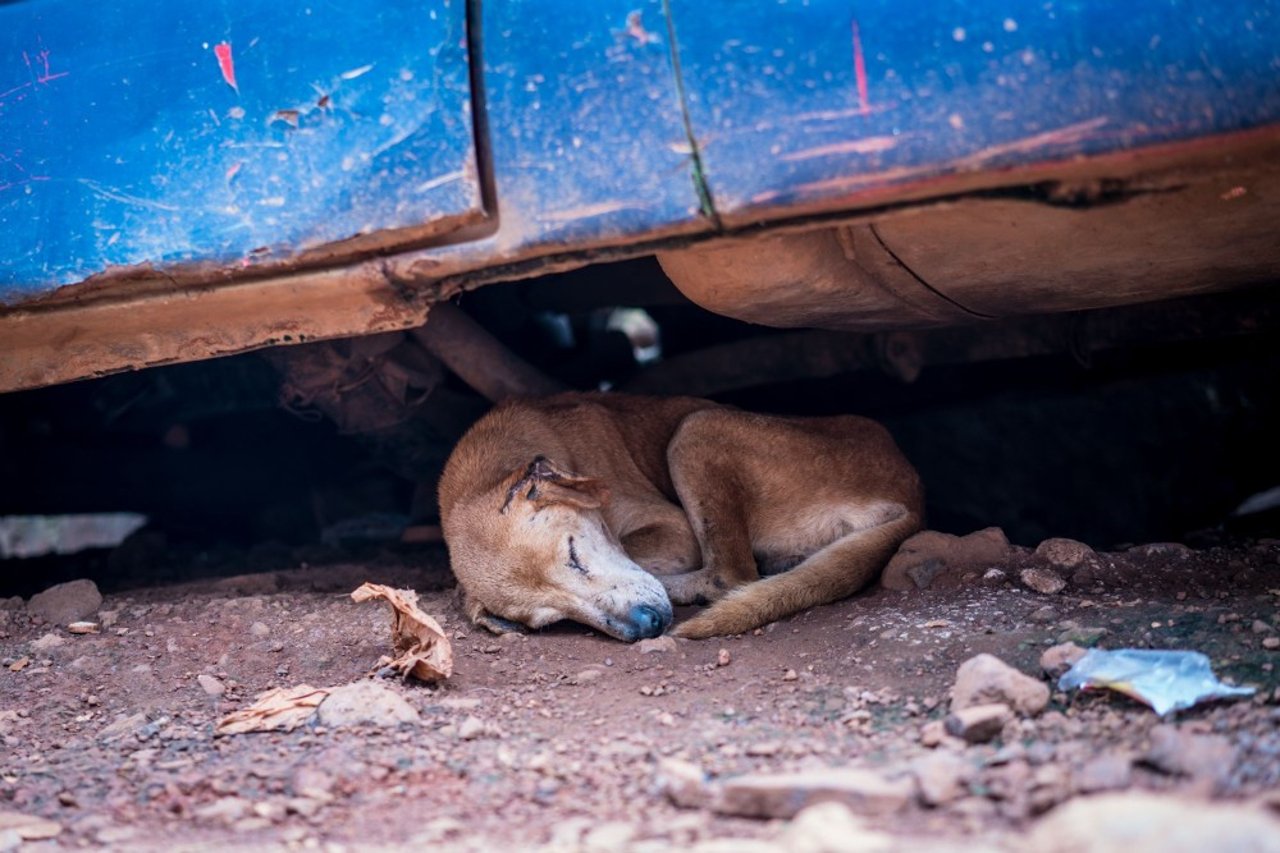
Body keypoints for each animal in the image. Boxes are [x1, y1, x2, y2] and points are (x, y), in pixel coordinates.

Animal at [437, 391, 921, 637]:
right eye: (552, 620)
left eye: (573, 556)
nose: (644, 627)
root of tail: (914, 494)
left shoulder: (673, 528)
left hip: (695, 431)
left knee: (732, 575)